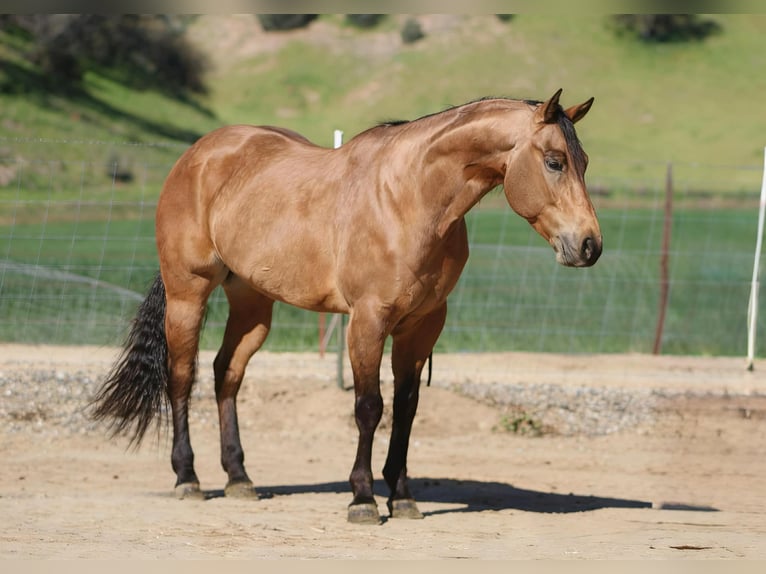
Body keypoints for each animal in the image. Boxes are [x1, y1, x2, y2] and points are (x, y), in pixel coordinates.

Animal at [91, 88, 602, 525]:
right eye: (554, 161)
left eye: (584, 162)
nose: (589, 246)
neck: (409, 199)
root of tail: (197, 155)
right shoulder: (368, 321)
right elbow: (369, 406)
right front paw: (363, 498)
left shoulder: (422, 326)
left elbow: (407, 408)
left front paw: (402, 497)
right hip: (188, 293)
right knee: (181, 376)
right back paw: (188, 478)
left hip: (252, 303)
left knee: (226, 373)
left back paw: (238, 478)